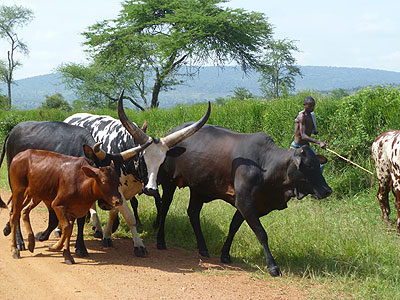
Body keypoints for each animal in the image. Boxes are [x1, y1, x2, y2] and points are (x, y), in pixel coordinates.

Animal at [5, 149, 142, 264]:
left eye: (118, 182)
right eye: (103, 182)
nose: (118, 201)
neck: (81, 182)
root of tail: (19, 155)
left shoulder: (73, 210)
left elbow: (69, 230)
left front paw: (67, 256)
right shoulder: (57, 205)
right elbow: (66, 228)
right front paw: (55, 247)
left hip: (36, 195)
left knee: (24, 211)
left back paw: (31, 243)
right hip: (18, 192)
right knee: (14, 215)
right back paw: (15, 249)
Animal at [64, 93, 211, 251]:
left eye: (163, 162)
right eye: (142, 160)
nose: (151, 189)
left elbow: (115, 211)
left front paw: (108, 234)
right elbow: (129, 217)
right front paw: (138, 244)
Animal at [156, 123, 332, 276]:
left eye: (318, 164)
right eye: (308, 166)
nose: (327, 190)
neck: (267, 166)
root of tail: (172, 133)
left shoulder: (249, 205)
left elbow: (233, 227)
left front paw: (225, 254)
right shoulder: (245, 202)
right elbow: (261, 233)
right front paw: (273, 266)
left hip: (198, 188)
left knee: (192, 213)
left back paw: (203, 248)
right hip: (169, 183)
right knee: (164, 208)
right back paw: (160, 241)